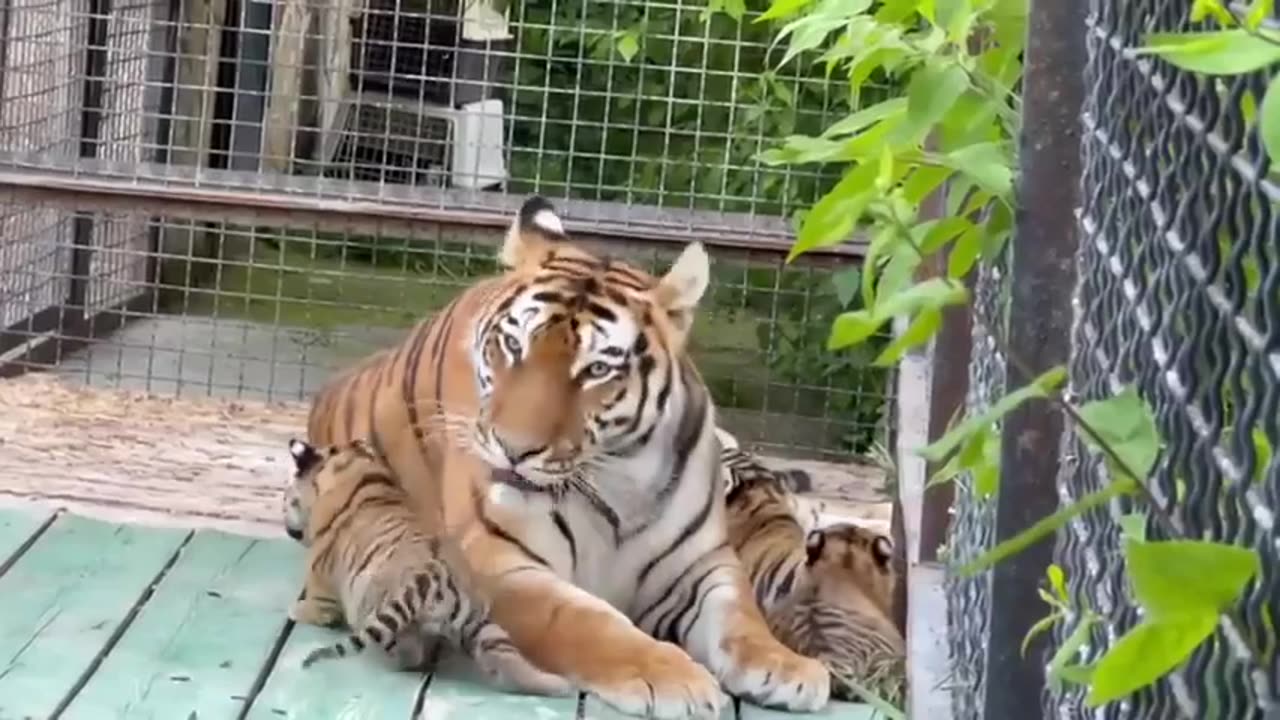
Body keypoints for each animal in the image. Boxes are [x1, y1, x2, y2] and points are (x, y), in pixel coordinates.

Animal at [307, 196, 829, 717]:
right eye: (513, 346)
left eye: (596, 369)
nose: (513, 449)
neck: (622, 478)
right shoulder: (503, 564)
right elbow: (589, 622)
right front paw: (675, 676)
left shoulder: (702, 564)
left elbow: (739, 614)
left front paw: (786, 666)